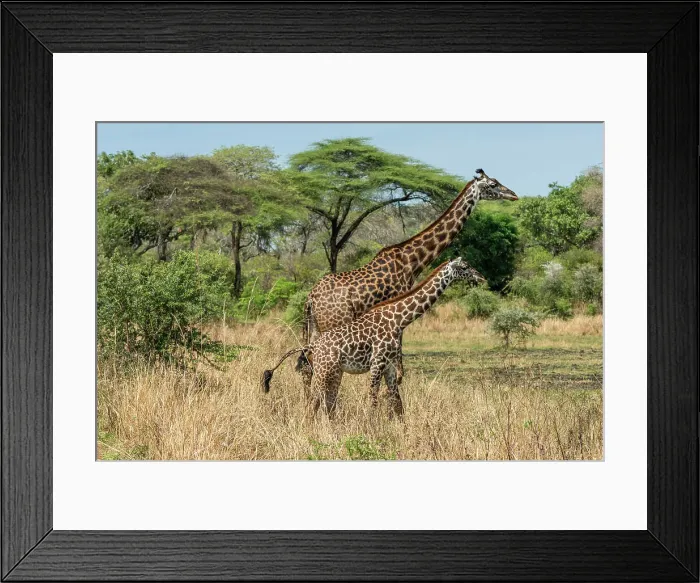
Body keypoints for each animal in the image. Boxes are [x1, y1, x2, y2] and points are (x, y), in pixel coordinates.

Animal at [262, 258, 485, 418]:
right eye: (465, 267)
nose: (482, 278)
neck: (399, 319)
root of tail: (314, 346)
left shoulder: (389, 366)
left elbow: (397, 404)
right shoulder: (377, 362)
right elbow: (373, 399)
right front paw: (372, 428)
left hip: (334, 371)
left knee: (326, 403)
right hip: (324, 371)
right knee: (313, 403)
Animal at [297, 169, 518, 385]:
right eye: (493, 184)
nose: (513, 195)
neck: (412, 260)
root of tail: (311, 299)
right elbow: (399, 372)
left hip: (315, 327)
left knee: (308, 364)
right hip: (334, 323)